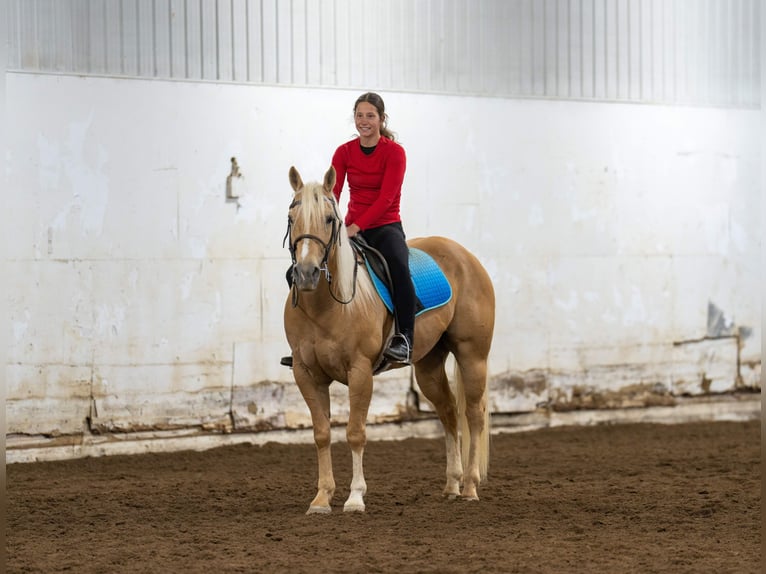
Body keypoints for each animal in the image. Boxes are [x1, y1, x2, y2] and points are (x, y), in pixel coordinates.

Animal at [283, 166, 496, 514]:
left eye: (328, 219)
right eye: (291, 217)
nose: (306, 273)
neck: (326, 305)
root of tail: (465, 256)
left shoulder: (359, 372)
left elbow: (355, 432)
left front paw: (355, 498)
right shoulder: (307, 374)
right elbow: (321, 433)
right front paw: (322, 498)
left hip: (472, 355)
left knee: (473, 414)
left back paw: (470, 487)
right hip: (428, 367)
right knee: (449, 412)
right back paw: (452, 485)